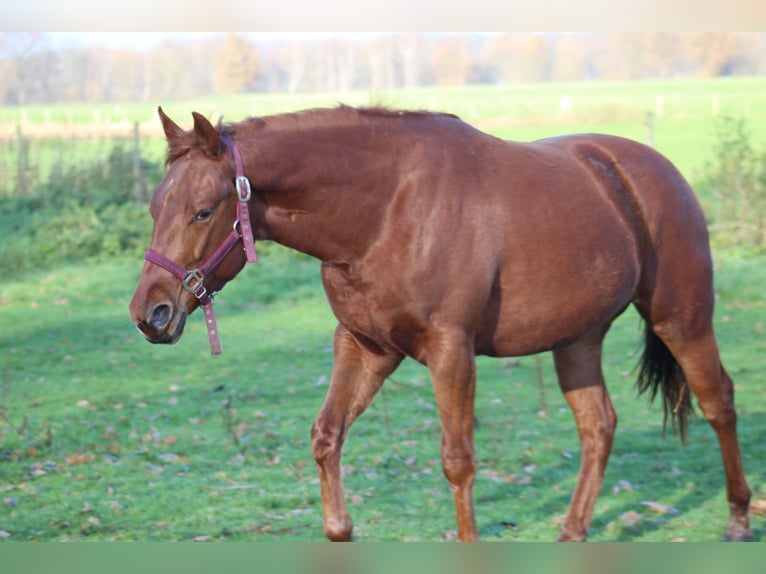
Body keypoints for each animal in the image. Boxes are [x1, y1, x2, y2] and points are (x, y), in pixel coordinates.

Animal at [129, 107, 752, 544]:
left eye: (204, 211)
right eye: (156, 207)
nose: (150, 314)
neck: (383, 212)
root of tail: (652, 169)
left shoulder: (452, 350)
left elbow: (458, 461)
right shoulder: (364, 347)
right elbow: (327, 437)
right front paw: (340, 529)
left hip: (682, 319)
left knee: (718, 401)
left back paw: (740, 519)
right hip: (578, 339)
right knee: (598, 425)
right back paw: (573, 532)